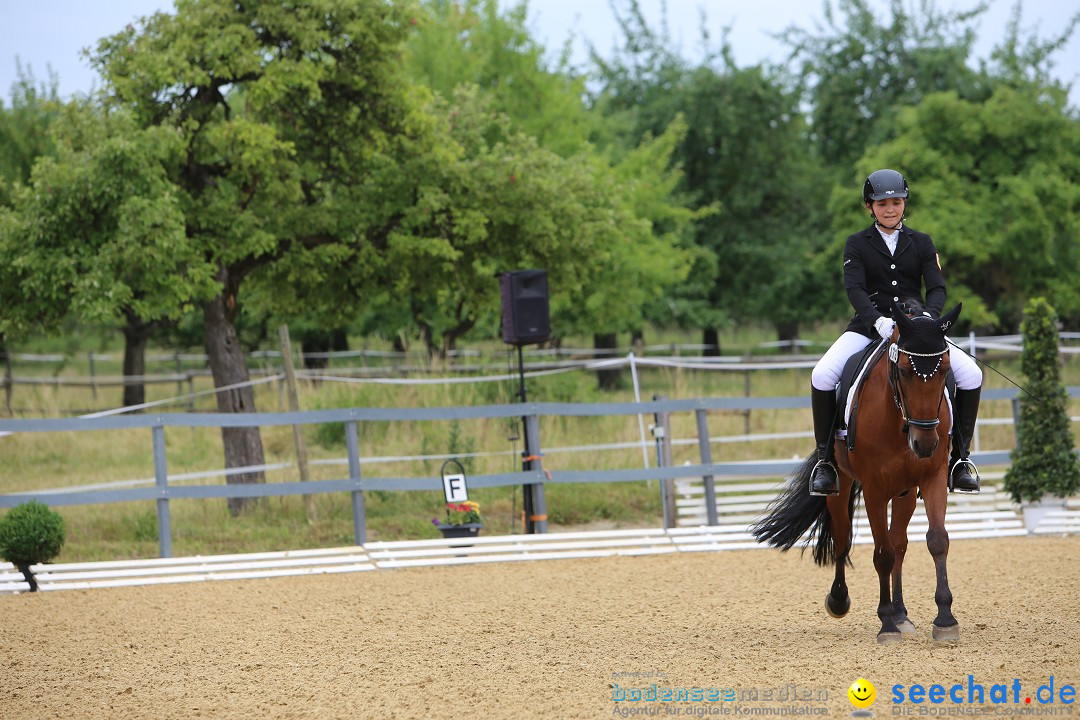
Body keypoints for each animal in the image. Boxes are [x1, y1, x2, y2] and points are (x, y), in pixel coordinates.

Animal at [751, 302, 963, 643]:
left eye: (945, 369)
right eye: (904, 370)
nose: (925, 443)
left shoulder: (933, 477)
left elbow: (936, 540)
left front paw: (944, 619)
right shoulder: (875, 488)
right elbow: (881, 554)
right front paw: (886, 624)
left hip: (905, 492)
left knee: (899, 543)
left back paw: (902, 613)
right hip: (841, 485)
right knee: (844, 537)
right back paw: (841, 600)